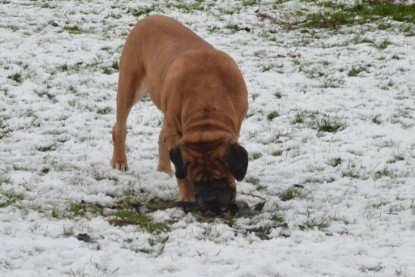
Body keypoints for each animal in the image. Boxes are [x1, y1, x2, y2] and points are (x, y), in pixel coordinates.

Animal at [110, 15, 249, 209]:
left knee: (161, 136)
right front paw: (187, 196)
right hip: (130, 85)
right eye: (196, 181)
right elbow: (181, 173)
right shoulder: (176, 131)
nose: (210, 200)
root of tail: (146, 18)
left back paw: (163, 169)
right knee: (120, 126)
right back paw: (119, 160)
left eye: (223, 177)